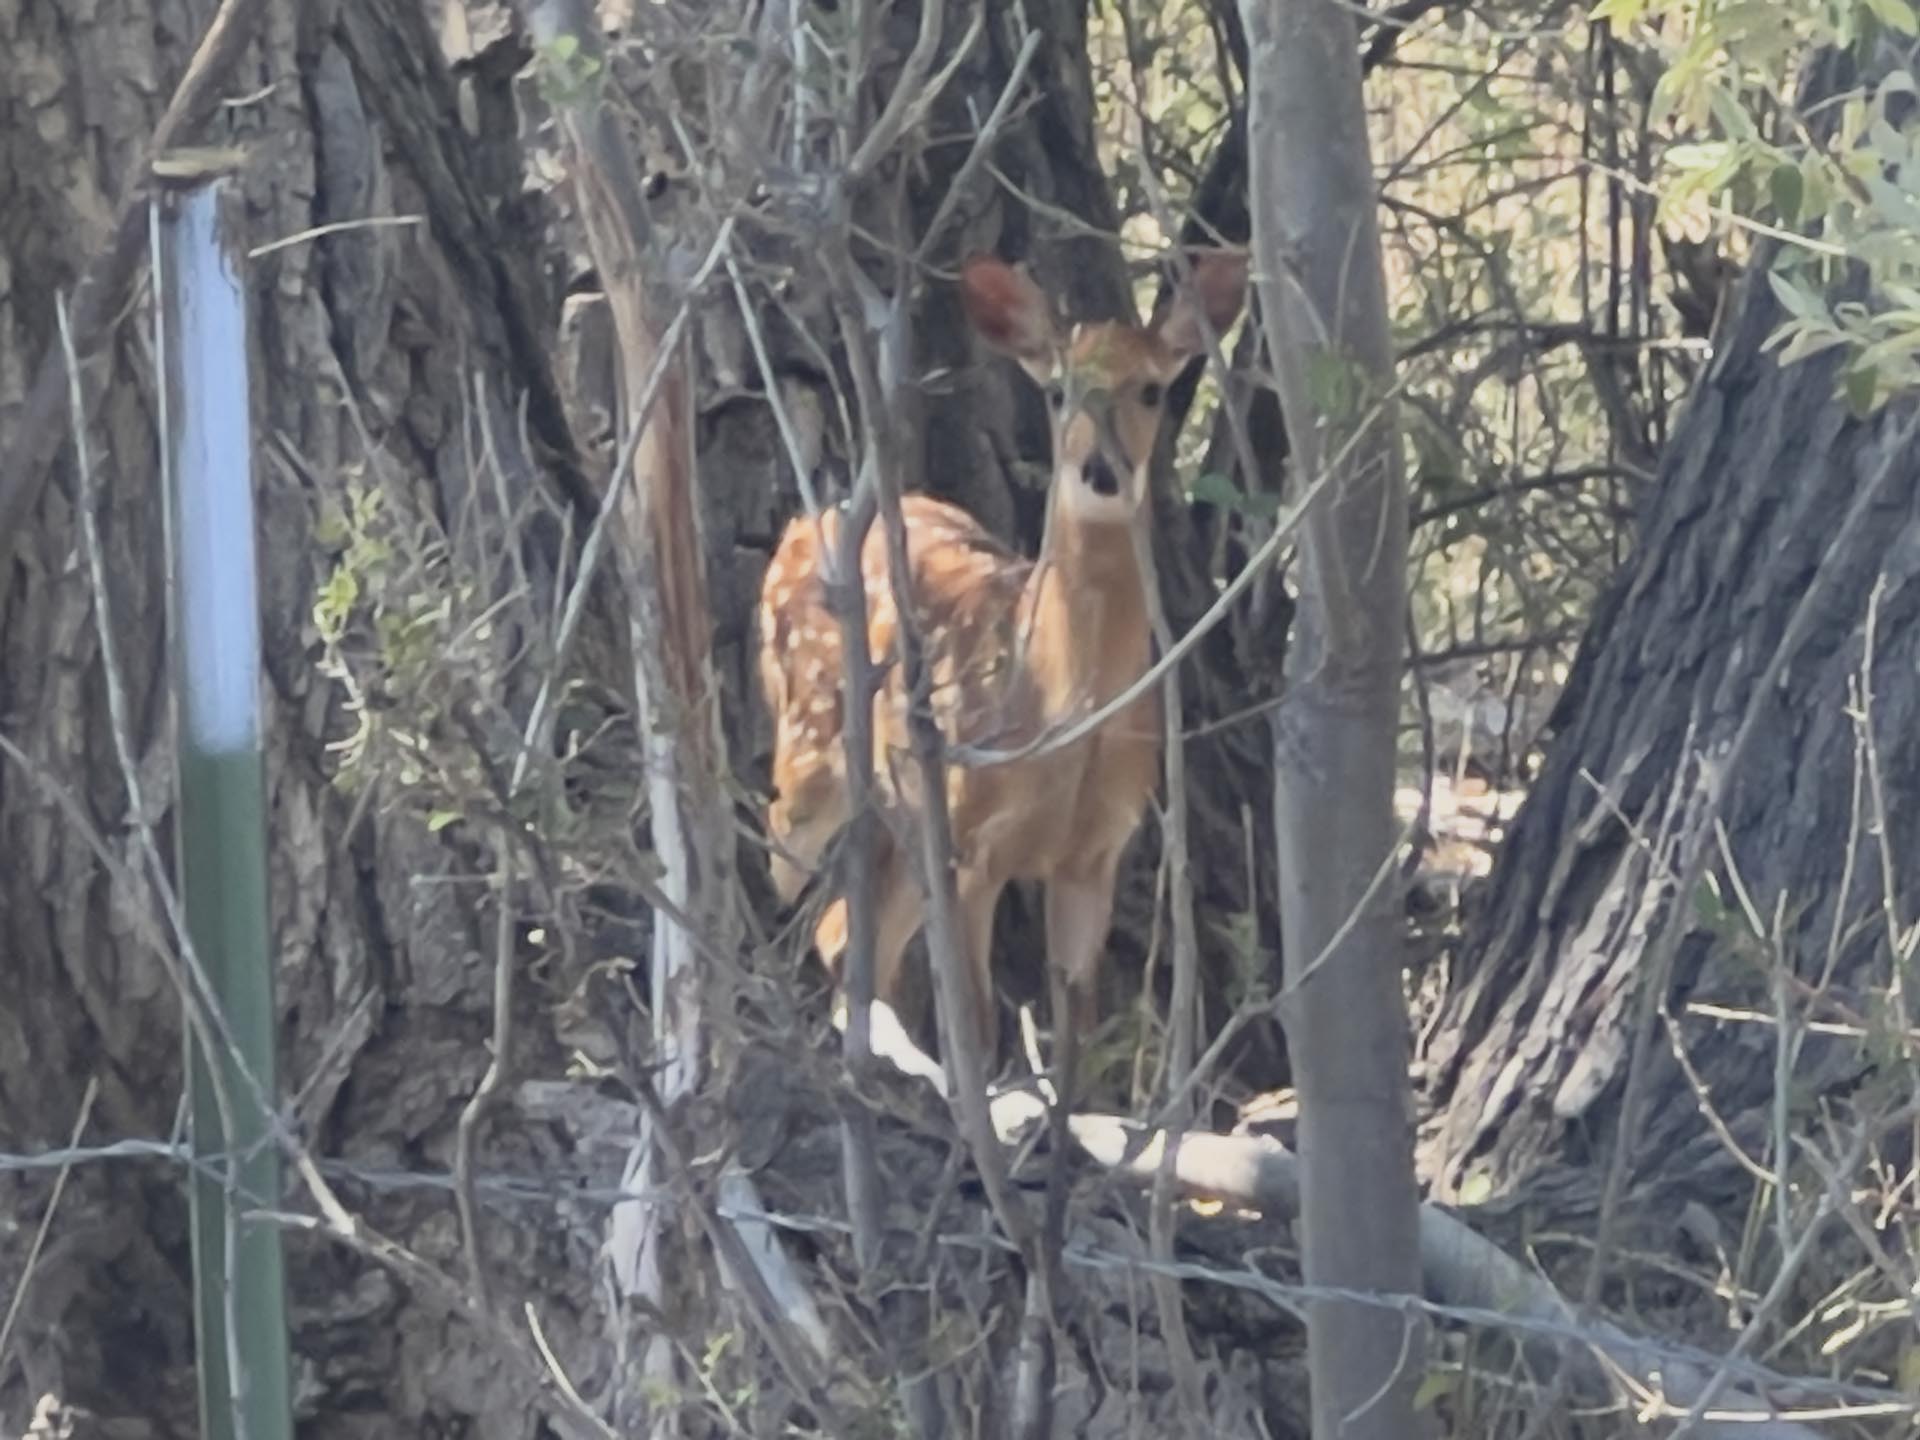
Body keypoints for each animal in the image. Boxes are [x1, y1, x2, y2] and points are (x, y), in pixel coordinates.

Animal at [757, 250, 1247, 1106]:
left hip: (904, 814)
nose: (1099, 469)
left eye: (1151, 389)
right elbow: (981, 1026)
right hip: (812, 747)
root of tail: (800, 526)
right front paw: (980, 1113)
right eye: (1056, 392)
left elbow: (1074, 1031)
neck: (1062, 710)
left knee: (845, 930)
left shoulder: (1097, 849)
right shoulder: (971, 841)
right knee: (786, 878)